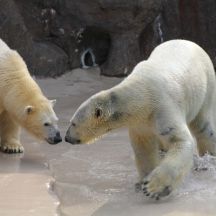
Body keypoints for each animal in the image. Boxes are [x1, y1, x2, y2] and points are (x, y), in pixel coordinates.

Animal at [65, 39, 216, 200]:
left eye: (73, 123)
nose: (67, 138)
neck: (141, 95)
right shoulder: (140, 121)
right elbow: (144, 147)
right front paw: (141, 182)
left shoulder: (163, 106)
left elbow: (179, 141)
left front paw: (153, 188)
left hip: (206, 86)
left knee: (203, 127)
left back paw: (209, 159)